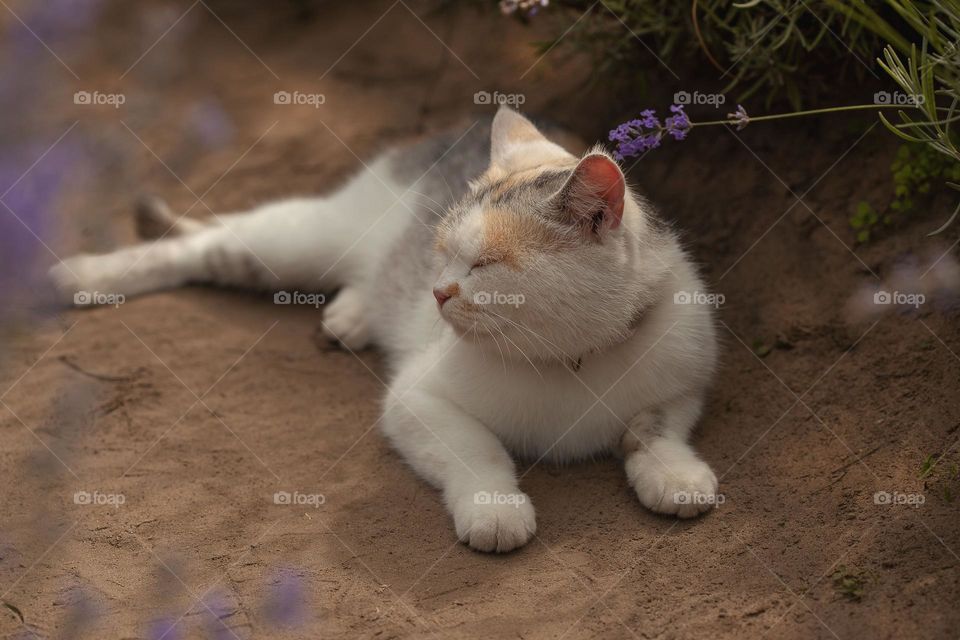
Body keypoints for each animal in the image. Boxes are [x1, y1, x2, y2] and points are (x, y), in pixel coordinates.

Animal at [48, 107, 716, 552]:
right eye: (442, 253)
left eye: (483, 266)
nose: (437, 290)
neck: (568, 360)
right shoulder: (416, 400)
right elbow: (478, 448)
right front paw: (496, 510)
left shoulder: (685, 382)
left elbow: (652, 429)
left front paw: (676, 476)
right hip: (297, 243)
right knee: (204, 245)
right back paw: (79, 275)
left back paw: (353, 314)